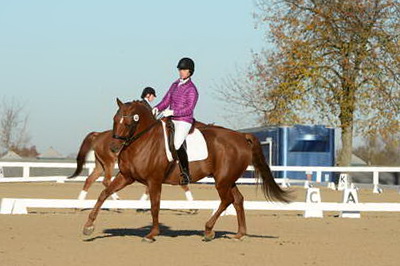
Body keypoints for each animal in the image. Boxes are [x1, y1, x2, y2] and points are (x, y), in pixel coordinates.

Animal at [83, 98, 290, 242]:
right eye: (115, 119)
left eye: (128, 122)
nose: (113, 148)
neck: (141, 140)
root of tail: (241, 136)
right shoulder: (126, 176)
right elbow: (104, 193)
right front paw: (88, 226)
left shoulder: (153, 180)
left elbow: (155, 205)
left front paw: (151, 234)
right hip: (228, 179)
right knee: (238, 199)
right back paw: (239, 234)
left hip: (222, 181)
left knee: (227, 200)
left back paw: (208, 230)